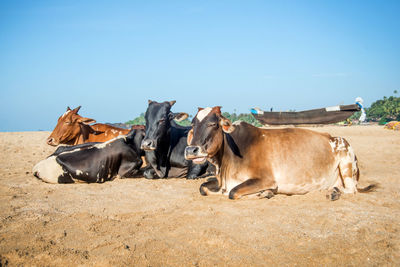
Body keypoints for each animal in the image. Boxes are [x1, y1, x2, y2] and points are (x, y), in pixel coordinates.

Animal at [184, 107, 376, 201]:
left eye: (213, 124)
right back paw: (331, 190)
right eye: (193, 124)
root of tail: (333, 136)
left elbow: (233, 192)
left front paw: (265, 193)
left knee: (352, 189)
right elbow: (203, 188)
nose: (191, 150)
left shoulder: (266, 179)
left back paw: (334, 192)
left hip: (346, 160)